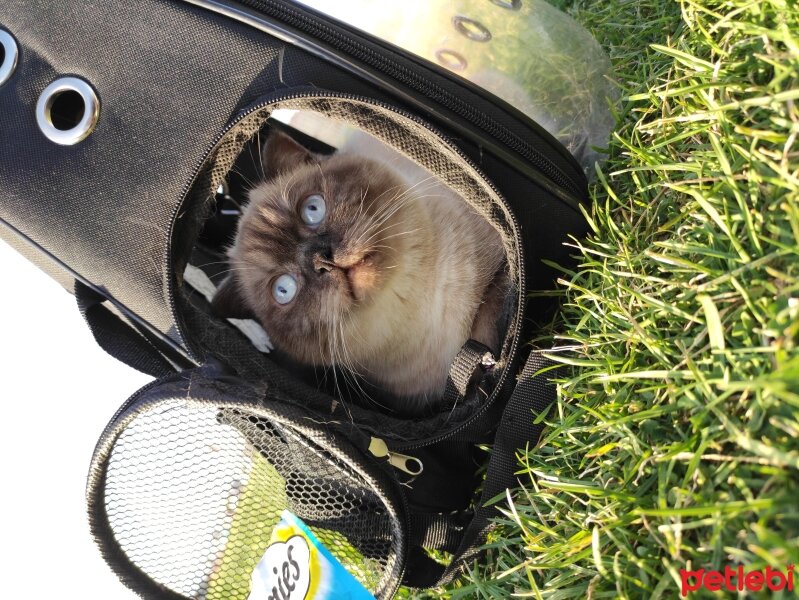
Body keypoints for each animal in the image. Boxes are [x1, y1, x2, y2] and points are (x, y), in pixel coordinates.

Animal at [214, 124, 506, 410]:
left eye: (313, 209)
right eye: (283, 290)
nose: (321, 259)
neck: (422, 304)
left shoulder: (498, 269)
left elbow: (494, 307)